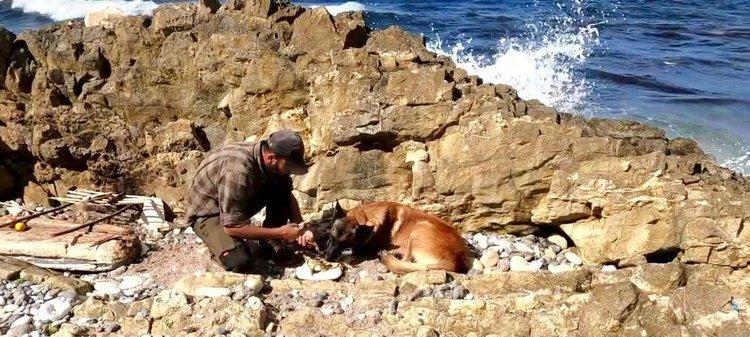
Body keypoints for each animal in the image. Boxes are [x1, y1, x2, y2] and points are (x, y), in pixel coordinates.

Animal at [324, 200, 470, 272]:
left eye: (344, 243)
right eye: (330, 238)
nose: (326, 257)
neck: (365, 215)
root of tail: (456, 260)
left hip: (419, 228)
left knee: (406, 261)